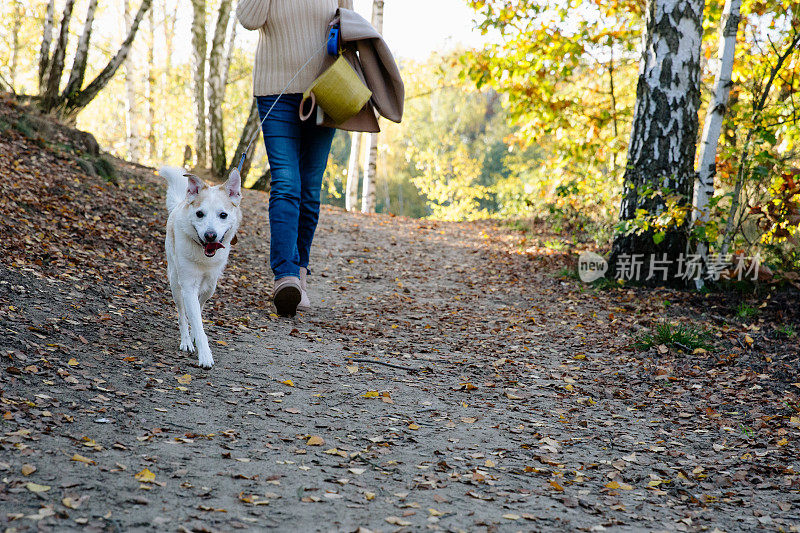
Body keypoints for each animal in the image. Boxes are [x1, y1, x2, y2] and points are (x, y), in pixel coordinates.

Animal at [159, 166, 241, 366]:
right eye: (199, 214)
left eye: (223, 215)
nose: (210, 235)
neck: (203, 256)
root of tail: (181, 202)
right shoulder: (188, 286)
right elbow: (194, 319)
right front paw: (204, 355)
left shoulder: (210, 286)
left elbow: (199, 312)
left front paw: (197, 335)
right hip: (175, 283)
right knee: (181, 314)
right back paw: (186, 341)